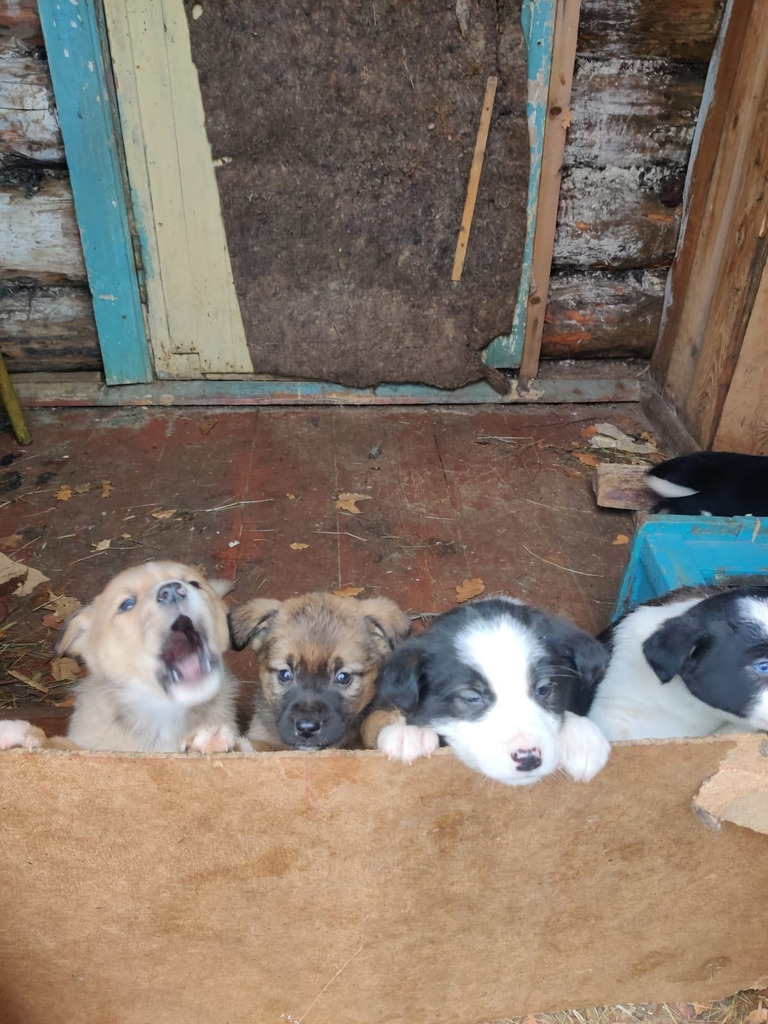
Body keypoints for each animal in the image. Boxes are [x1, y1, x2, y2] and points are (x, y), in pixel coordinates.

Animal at [0, 561, 244, 754]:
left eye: (194, 583)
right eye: (127, 604)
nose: (172, 590)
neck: (164, 717)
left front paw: (210, 740)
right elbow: (61, 745)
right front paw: (23, 737)